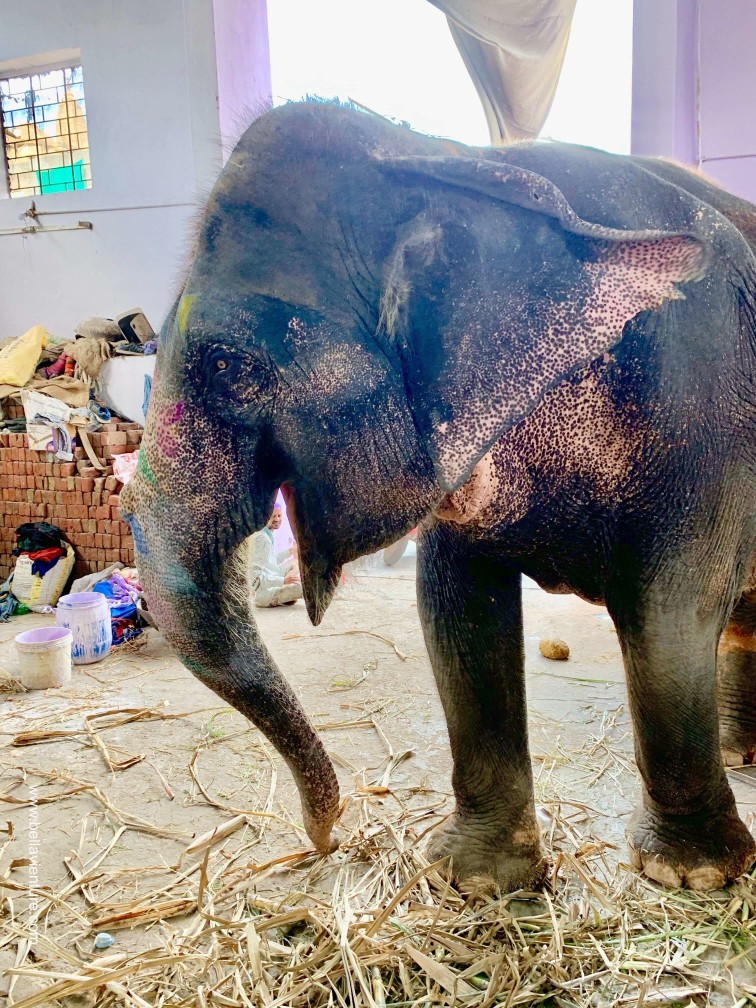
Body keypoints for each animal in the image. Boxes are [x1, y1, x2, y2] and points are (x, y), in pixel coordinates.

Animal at [121, 100, 756, 893]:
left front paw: (689, 875)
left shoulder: (704, 402)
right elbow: (456, 607)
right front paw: (475, 878)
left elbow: (670, 606)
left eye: (227, 365)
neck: (449, 159)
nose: (327, 837)